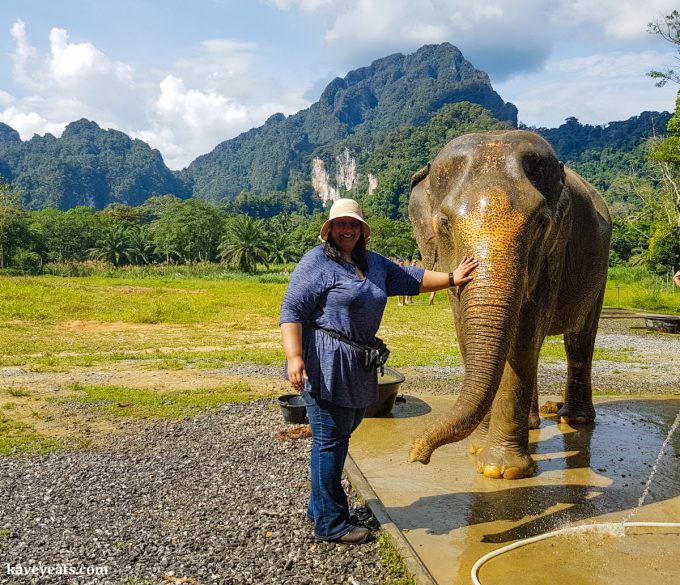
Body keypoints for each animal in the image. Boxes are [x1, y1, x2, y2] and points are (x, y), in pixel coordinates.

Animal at [406, 129, 612, 480]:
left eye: (542, 221)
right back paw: (533, 423)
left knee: (579, 339)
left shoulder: (553, 253)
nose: (416, 456)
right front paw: (477, 450)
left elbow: (525, 334)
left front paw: (502, 471)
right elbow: (465, 329)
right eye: (444, 223)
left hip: (600, 272)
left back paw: (576, 419)